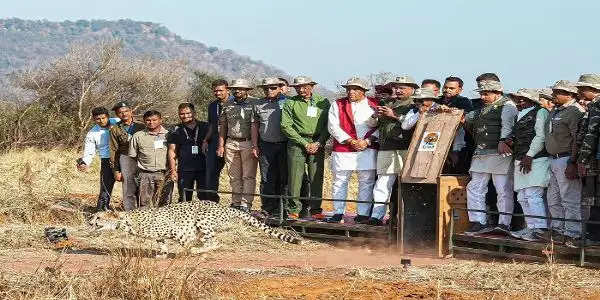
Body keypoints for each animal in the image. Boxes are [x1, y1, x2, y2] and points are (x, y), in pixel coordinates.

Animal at [88, 200, 304, 256]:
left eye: (98, 217)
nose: (89, 222)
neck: (126, 220)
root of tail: (225, 206)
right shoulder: (160, 235)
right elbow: (161, 242)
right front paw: (162, 254)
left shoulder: (177, 230)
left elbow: (184, 242)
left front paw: (187, 251)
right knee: (211, 240)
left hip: (202, 220)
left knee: (216, 241)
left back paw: (199, 250)